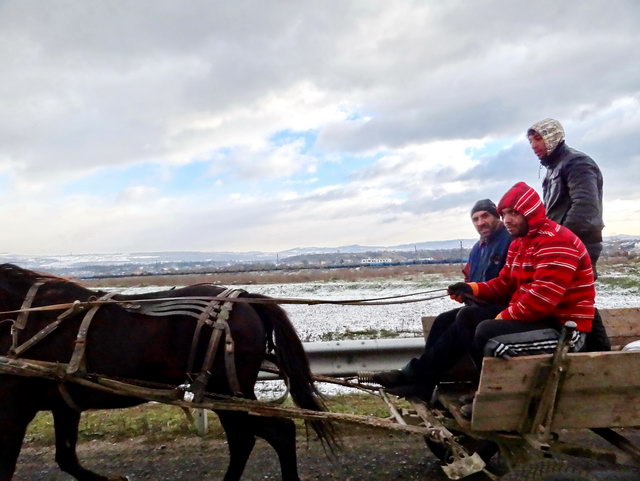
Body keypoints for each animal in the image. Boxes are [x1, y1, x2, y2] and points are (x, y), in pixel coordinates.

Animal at [0, 264, 338, 480]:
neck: (24, 316)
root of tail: (245, 298)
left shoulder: (16, 408)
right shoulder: (64, 402)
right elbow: (68, 459)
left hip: (223, 391)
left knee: (264, 435)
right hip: (227, 393)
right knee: (262, 436)